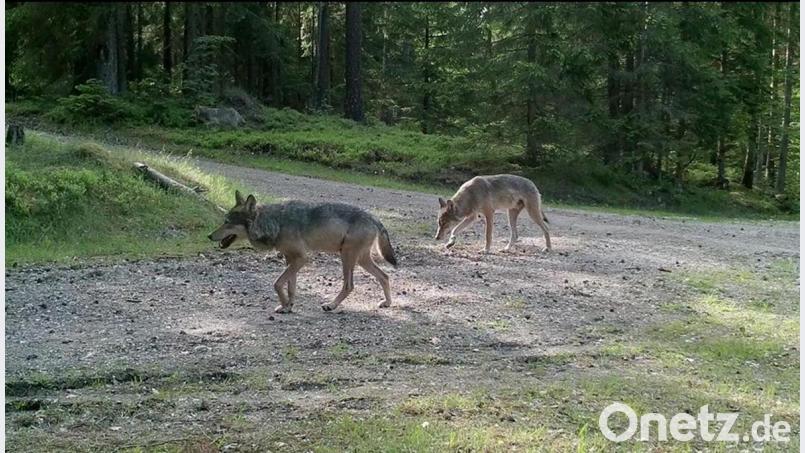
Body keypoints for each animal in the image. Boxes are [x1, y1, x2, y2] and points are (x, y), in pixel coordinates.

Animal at [209, 191, 397, 313]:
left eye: (227, 222)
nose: (209, 235)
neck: (275, 222)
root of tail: (375, 218)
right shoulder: (290, 259)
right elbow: (290, 286)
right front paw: (288, 306)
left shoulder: (301, 258)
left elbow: (277, 283)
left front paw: (285, 304)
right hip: (360, 260)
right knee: (385, 276)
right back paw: (387, 303)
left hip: (347, 257)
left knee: (349, 286)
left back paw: (331, 305)